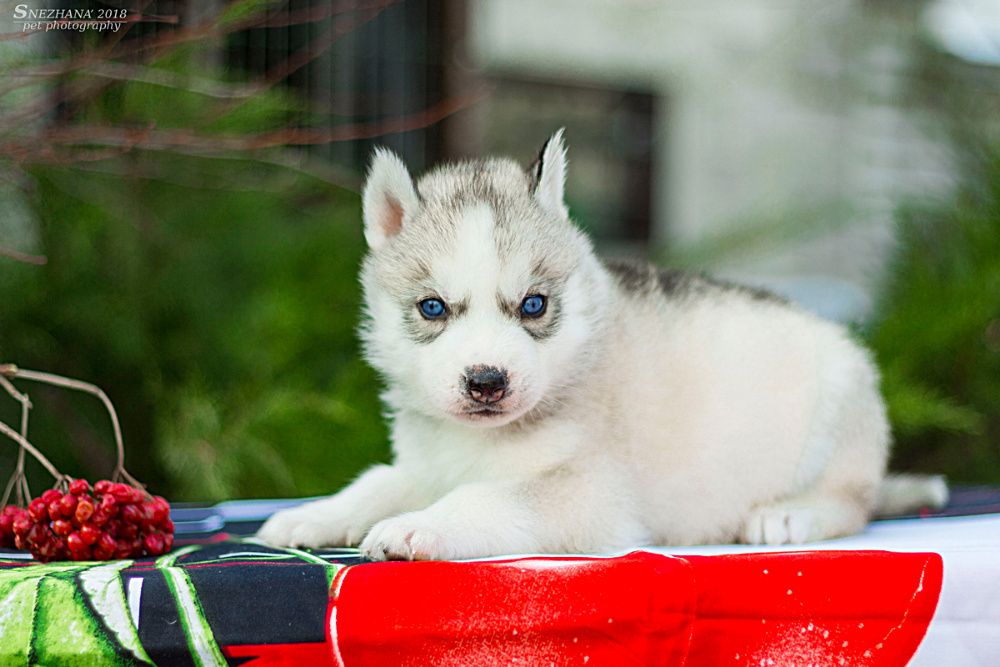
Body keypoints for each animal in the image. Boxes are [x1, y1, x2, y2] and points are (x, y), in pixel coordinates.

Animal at [260, 130, 944, 560]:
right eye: (433, 308)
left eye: (533, 305)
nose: (487, 381)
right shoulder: (426, 463)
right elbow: (379, 479)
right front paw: (314, 513)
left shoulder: (587, 493)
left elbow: (489, 496)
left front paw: (418, 526)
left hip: (841, 401)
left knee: (854, 502)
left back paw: (792, 513)